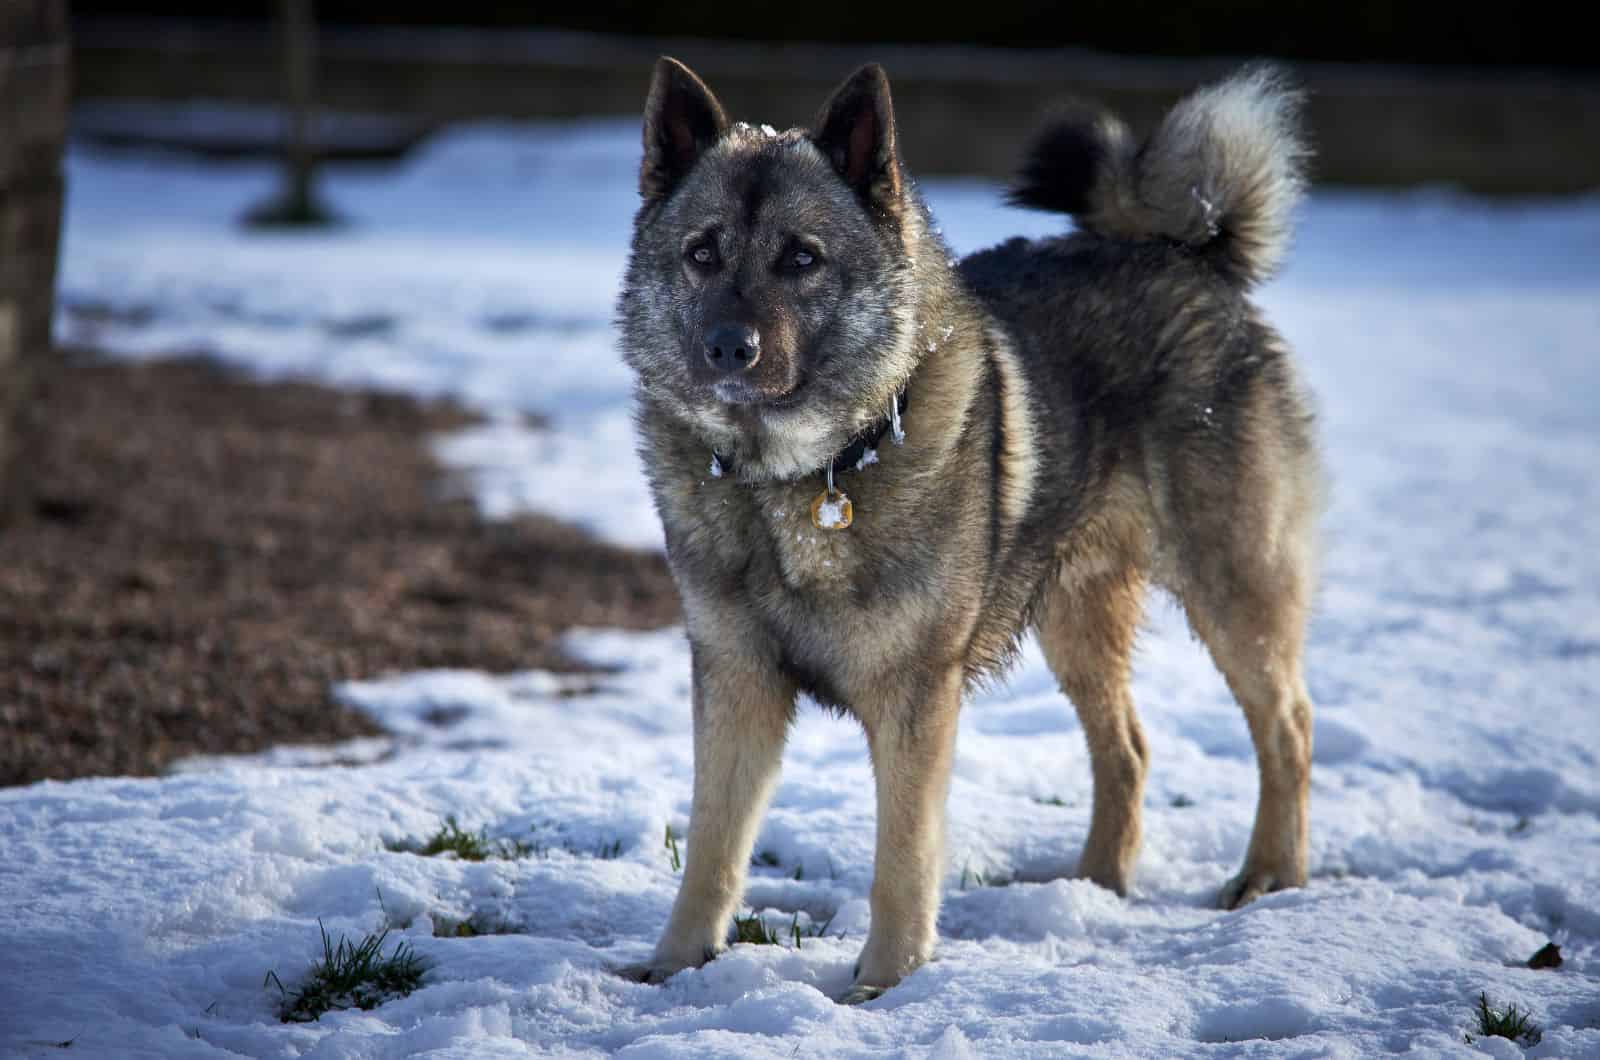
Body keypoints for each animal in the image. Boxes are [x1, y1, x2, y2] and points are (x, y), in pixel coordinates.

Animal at [617, 58, 1318, 1005]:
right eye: (702, 254)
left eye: (802, 258)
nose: (730, 347)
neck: (798, 480)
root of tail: (1183, 253)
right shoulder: (735, 679)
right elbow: (713, 844)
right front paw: (676, 962)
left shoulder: (917, 697)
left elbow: (902, 856)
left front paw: (885, 982)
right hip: (1075, 616)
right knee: (1128, 748)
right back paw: (1094, 886)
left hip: (1233, 588)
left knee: (1287, 728)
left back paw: (1271, 876)